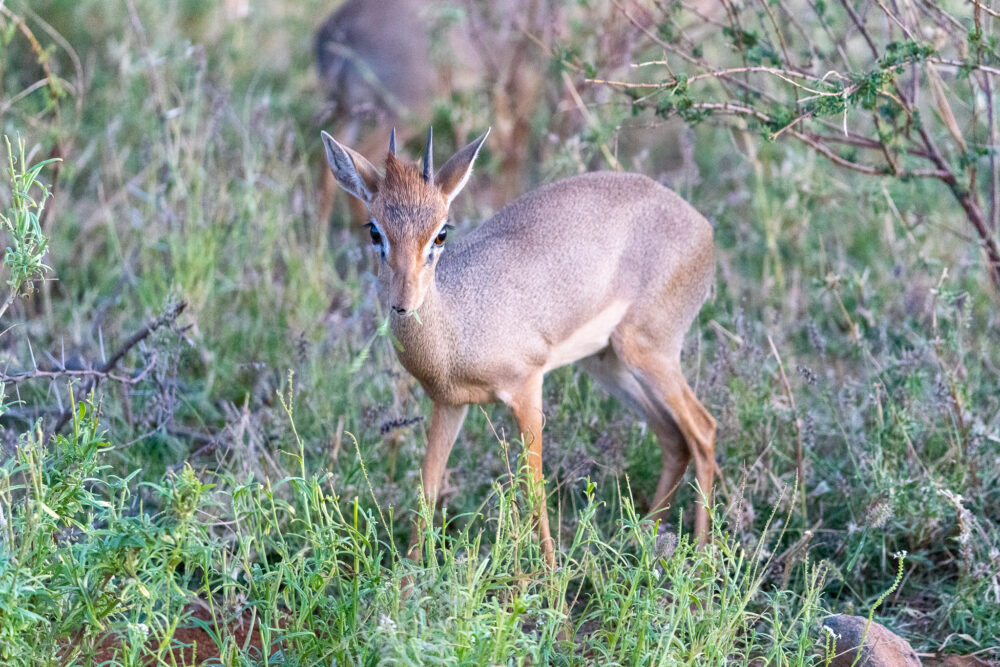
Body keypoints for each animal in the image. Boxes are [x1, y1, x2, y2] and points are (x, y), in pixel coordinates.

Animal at [324, 126, 716, 564]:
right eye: (375, 230)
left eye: (441, 233)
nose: (403, 303)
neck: (457, 330)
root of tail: (702, 225)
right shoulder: (449, 404)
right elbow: (427, 490)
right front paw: (407, 576)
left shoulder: (527, 388)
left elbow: (534, 489)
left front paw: (551, 577)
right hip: (607, 363)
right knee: (673, 436)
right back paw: (638, 541)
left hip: (650, 353)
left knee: (703, 431)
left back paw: (700, 557)